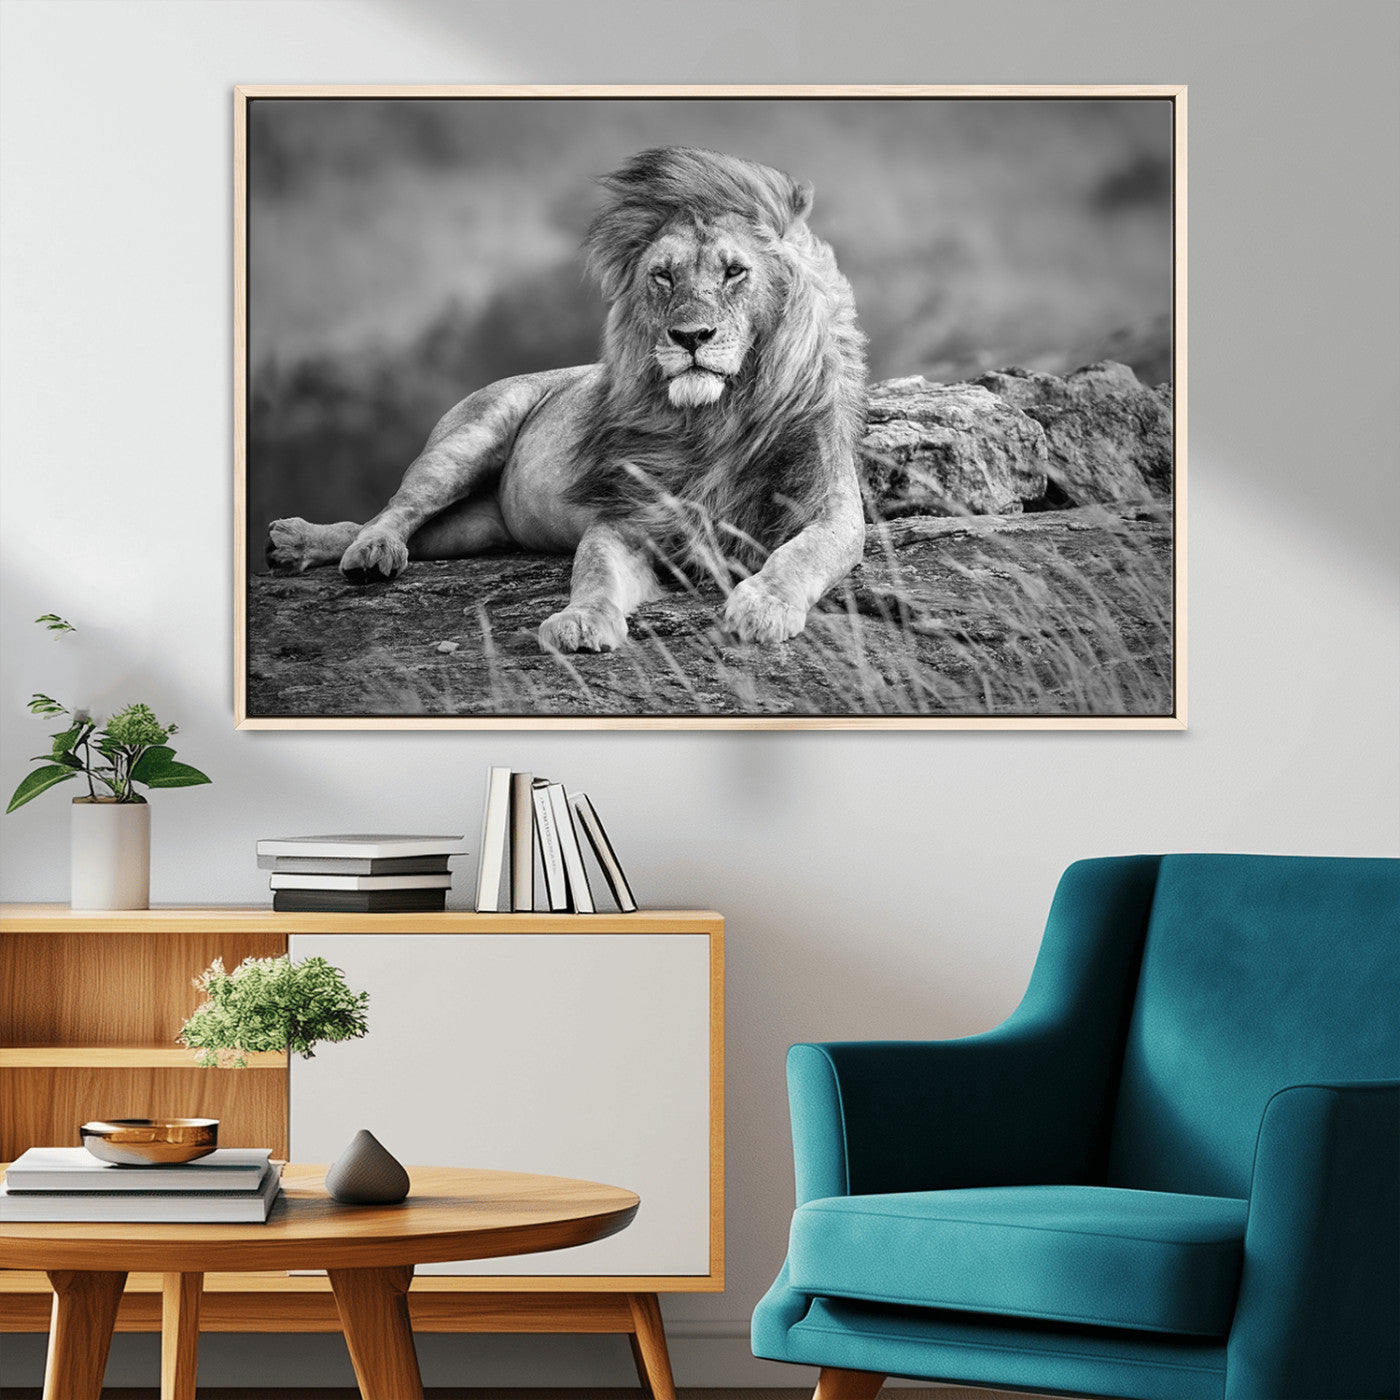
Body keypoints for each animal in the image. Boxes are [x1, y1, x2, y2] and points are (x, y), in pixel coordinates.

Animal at [266, 146, 868, 651]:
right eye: (663, 276)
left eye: (735, 271)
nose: (690, 337)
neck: (715, 419)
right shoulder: (627, 516)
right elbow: (594, 570)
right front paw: (581, 621)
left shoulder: (831, 510)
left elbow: (799, 555)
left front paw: (764, 605)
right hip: (466, 441)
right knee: (394, 510)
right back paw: (355, 550)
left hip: (476, 529)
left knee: (397, 527)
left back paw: (300, 544)